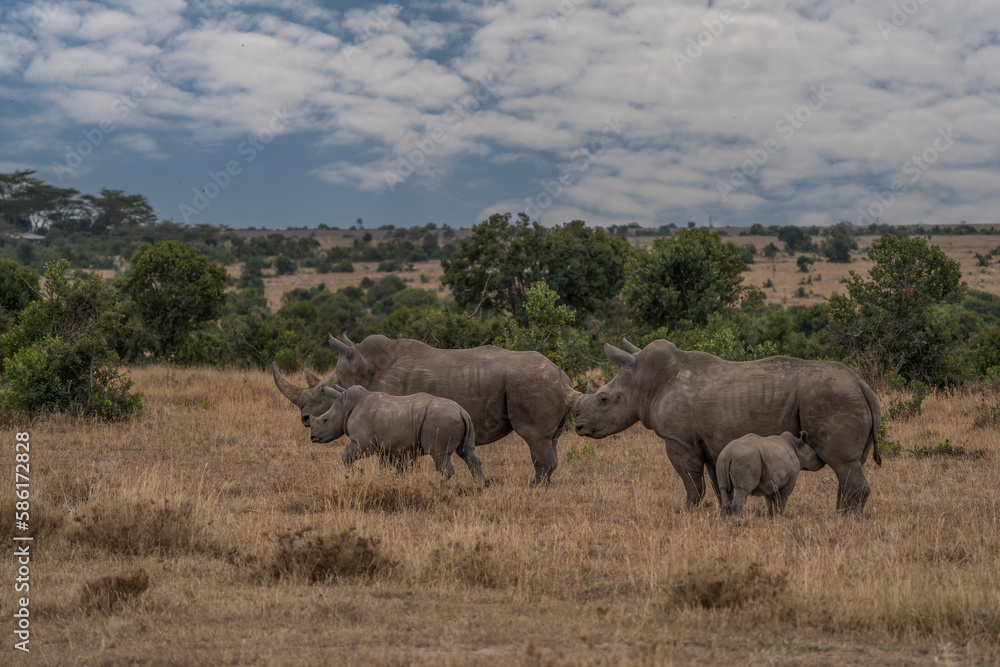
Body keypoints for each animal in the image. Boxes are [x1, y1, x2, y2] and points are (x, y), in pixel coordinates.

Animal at [310, 384, 488, 484]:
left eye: (325, 420)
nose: (312, 437)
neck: (346, 405)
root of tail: (461, 411)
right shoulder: (388, 445)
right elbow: (389, 466)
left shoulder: (363, 441)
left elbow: (346, 456)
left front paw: (359, 473)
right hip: (463, 420)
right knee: (467, 452)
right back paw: (482, 484)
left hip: (441, 420)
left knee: (439, 454)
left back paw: (436, 484)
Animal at [572, 337, 881, 513]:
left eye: (603, 399)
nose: (578, 427)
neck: (643, 382)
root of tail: (863, 385)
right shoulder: (709, 442)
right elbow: (715, 480)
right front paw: (725, 512)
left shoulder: (678, 440)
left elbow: (691, 481)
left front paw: (685, 512)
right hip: (848, 397)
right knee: (851, 464)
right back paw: (841, 514)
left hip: (834, 397)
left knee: (841, 462)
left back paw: (848, 520)